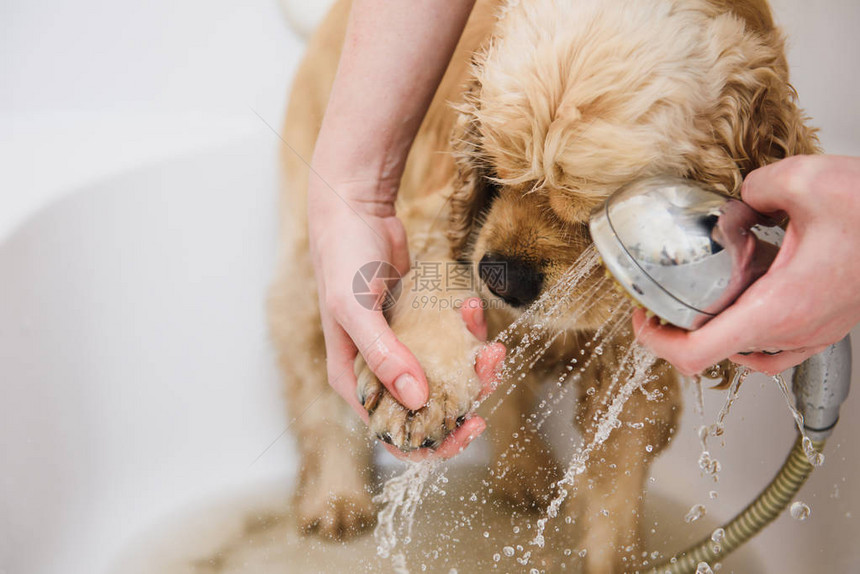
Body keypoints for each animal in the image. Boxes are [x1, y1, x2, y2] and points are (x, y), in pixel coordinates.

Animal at [268, 1, 820, 572]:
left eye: (598, 214)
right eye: (493, 167)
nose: (499, 276)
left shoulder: (637, 359)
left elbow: (616, 486)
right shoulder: (438, 216)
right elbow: (430, 286)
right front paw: (418, 396)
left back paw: (525, 474)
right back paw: (336, 499)